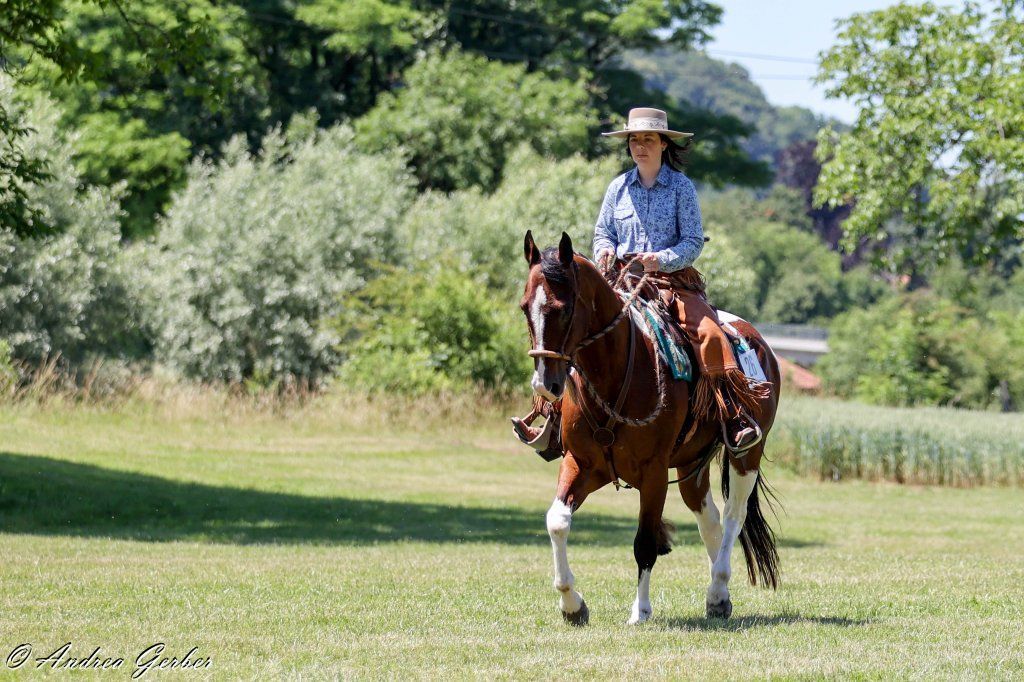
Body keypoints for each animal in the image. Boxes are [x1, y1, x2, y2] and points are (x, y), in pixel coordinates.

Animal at [520, 230, 782, 625]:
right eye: (524, 307)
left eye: (561, 308)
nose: (544, 384)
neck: (617, 372)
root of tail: (758, 341)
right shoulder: (582, 464)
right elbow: (557, 521)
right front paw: (572, 605)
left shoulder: (654, 472)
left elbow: (644, 542)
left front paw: (640, 610)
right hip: (691, 465)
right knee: (710, 521)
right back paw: (718, 595)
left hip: (747, 455)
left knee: (733, 516)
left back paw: (718, 585)